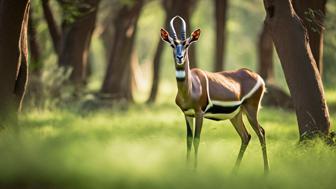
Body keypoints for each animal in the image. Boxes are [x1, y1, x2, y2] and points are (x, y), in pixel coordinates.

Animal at [161, 15, 270, 173]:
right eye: (172, 44)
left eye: (187, 44)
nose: (180, 57)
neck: (190, 88)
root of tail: (258, 77)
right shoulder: (187, 114)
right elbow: (188, 140)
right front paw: (186, 170)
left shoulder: (199, 113)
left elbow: (196, 139)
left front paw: (194, 170)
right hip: (236, 115)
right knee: (246, 136)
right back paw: (233, 172)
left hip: (251, 110)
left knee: (261, 132)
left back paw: (266, 171)